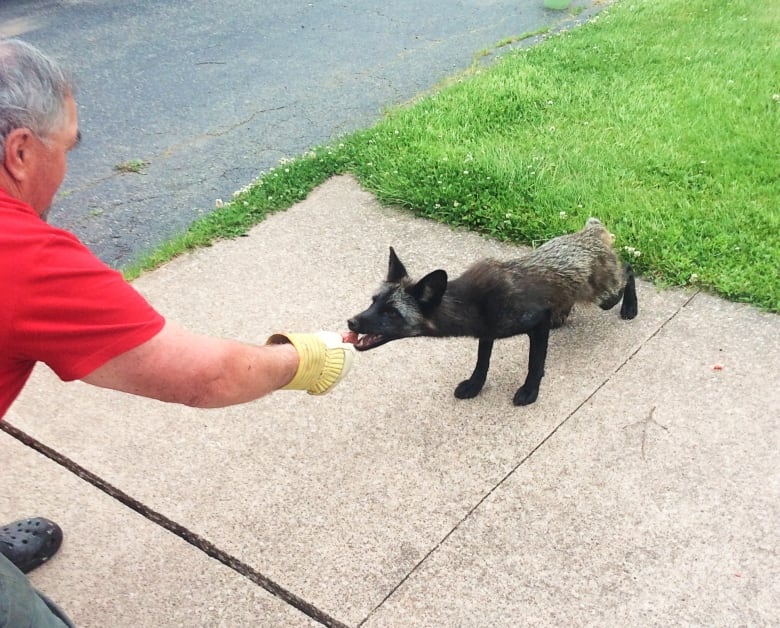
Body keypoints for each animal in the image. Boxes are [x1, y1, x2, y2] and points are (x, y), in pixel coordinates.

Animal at [350, 218, 636, 408]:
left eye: (391, 312)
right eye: (373, 301)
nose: (351, 322)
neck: (473, 304)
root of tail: (589, 233)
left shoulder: (537, 322)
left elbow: (535, 364)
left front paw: (530, 391)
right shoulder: (487, 332)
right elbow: (481, 362)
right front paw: (474, 385)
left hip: (606, 296)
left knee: (629, 269)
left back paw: (630, 308)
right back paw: (563, 313)